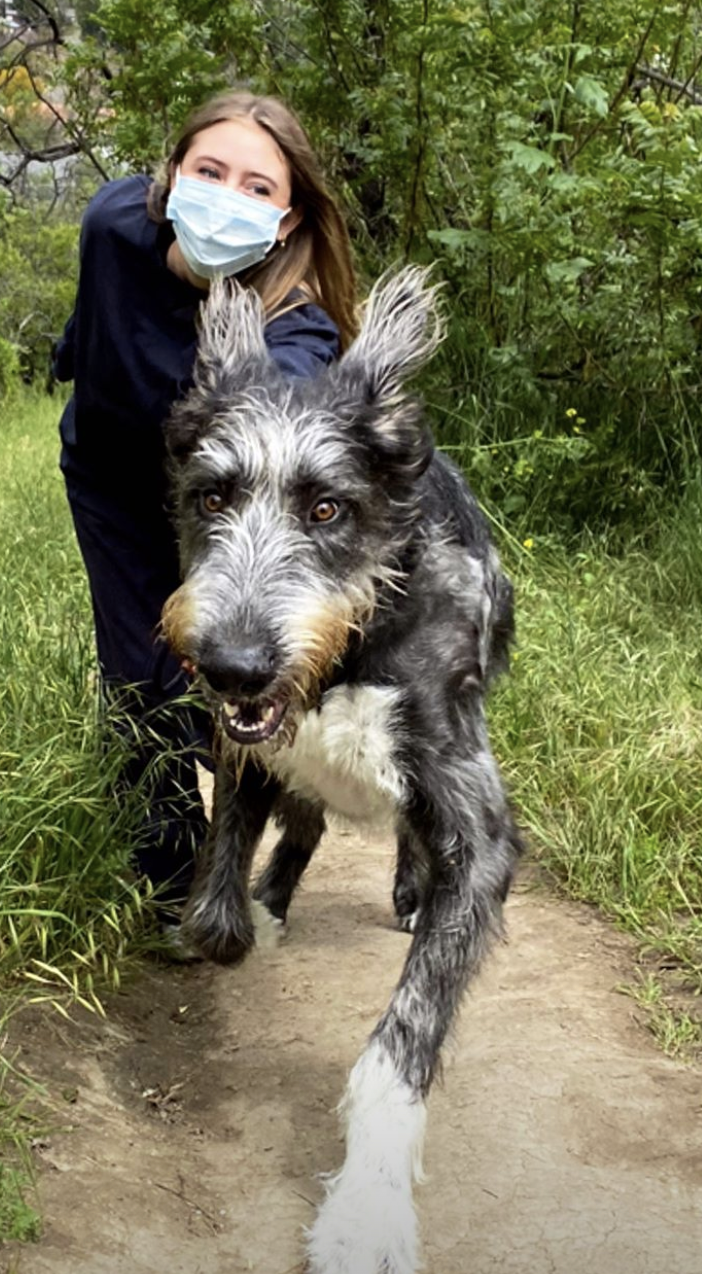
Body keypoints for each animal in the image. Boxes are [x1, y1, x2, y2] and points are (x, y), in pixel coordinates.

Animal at [159, 268, 522, 1274]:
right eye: (211, 498)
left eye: (326, 508)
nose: (235, 664)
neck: (355, 646)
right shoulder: (248, 744)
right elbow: (217, 906)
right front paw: (247, 920)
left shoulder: (475, 821)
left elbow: (403, 1037)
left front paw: (370, 1204)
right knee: (310, 823)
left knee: (402, 834)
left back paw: (405, 887)